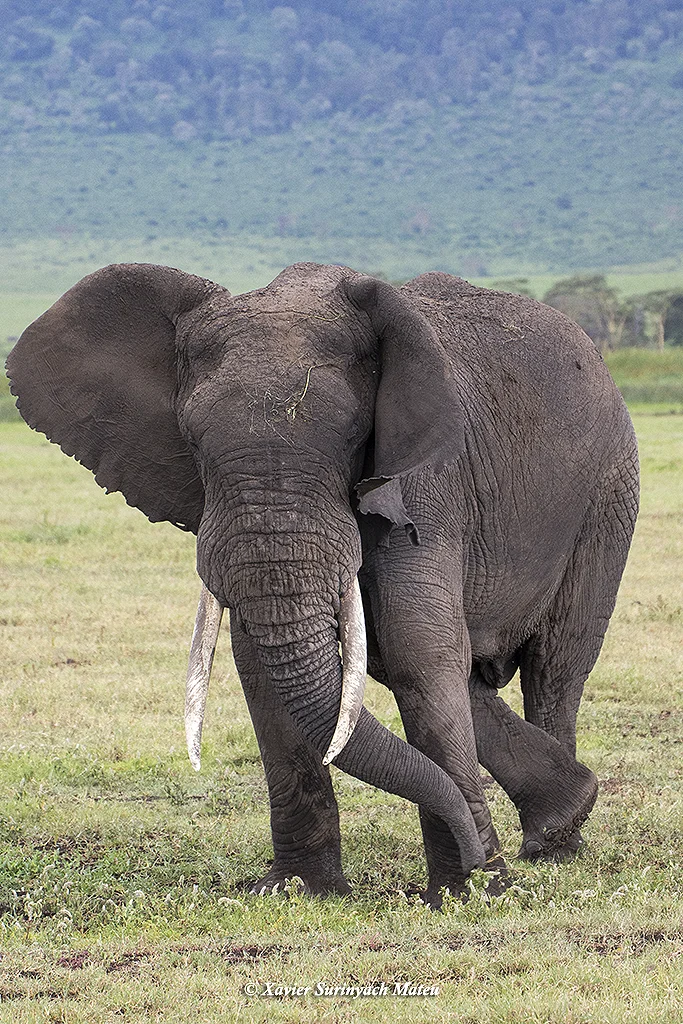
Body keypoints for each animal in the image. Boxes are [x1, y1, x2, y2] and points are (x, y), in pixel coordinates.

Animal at [6, 261, 639, 905]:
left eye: (353, 434)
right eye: (192, 441)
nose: (482, 864)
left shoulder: (426, 478)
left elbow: (418, 646)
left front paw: (467, 893)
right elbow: (262, 664)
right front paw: (301, 891)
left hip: (608, 490)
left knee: (554, 666)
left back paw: (555, 844)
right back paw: (561, 815)